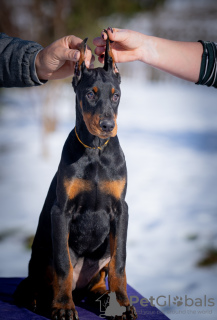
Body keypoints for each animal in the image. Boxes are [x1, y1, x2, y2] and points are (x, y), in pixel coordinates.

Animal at [14, 33, 137, 320]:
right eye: (90, 94)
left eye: (116, 96)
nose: (107, 126)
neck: (95, 150)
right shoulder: (61, 211)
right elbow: (63, 265)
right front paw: (62, 306)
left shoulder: (121, 210)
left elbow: (119, 263)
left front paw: (123, 304)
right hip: (43, 252)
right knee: (36, 280)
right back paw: (38, 299)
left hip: (102, 255)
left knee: (98, 280)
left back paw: (103, 299)